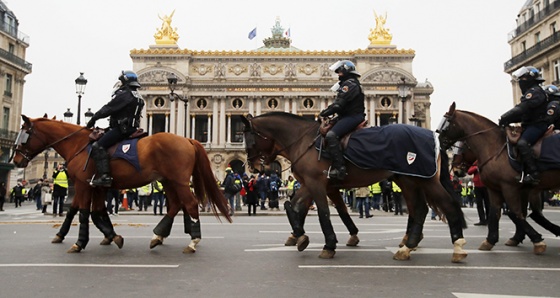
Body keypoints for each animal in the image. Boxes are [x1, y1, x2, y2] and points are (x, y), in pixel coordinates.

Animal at [13, 115, 232, 253]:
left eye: (24, 135)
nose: (16, 161)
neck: (78, 144)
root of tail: (187, 139)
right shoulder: (97, 185)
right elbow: (91, 211)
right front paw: (111, 236)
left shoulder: (84, 184)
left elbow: (83, 212)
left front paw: (79, 243)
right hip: (168, 181)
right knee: (177, 205)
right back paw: (158, 237)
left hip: (178, 181)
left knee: (190, 204)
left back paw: (192, 241)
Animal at [242, 112, 468, 264]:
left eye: (249, 139)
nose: (253, 167)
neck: (304, 141)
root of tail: (435, 138)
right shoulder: (312, 183)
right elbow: (295, 206)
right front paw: (300, 236)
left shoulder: (317, 183)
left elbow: (323, 212)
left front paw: (328, 244)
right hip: (409, 180)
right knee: (418, 209)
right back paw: (408, 246)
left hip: (422, 180)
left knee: (444, 205)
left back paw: (456, 248)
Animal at [436, 102, 560, 254]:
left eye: (446, 124)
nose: (456, 170)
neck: (494, 148)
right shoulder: (497, 189)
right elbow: (495, 213)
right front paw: (491, 240)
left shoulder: (510, 187)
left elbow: (515, 213)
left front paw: (537, 240)